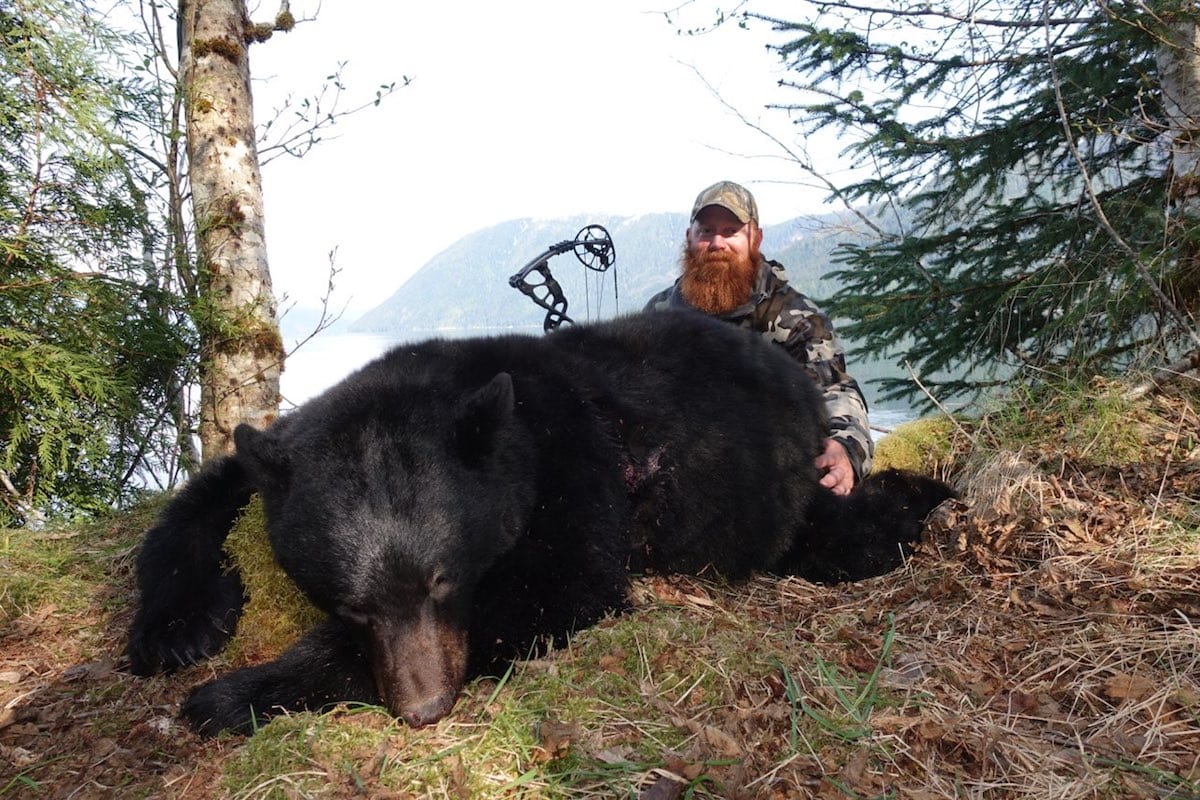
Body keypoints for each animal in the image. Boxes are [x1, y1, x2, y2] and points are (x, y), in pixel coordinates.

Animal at [126, 311, 955, 738]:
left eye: (442, 580)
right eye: (351, 601)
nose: (424, 707)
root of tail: (788, 371)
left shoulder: (572, 465)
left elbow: (557, 589)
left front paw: (236, 693)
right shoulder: (290, 445)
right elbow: (201, 496)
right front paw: (176, 629)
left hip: (780, 480)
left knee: (836, 528)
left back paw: (921, 504)